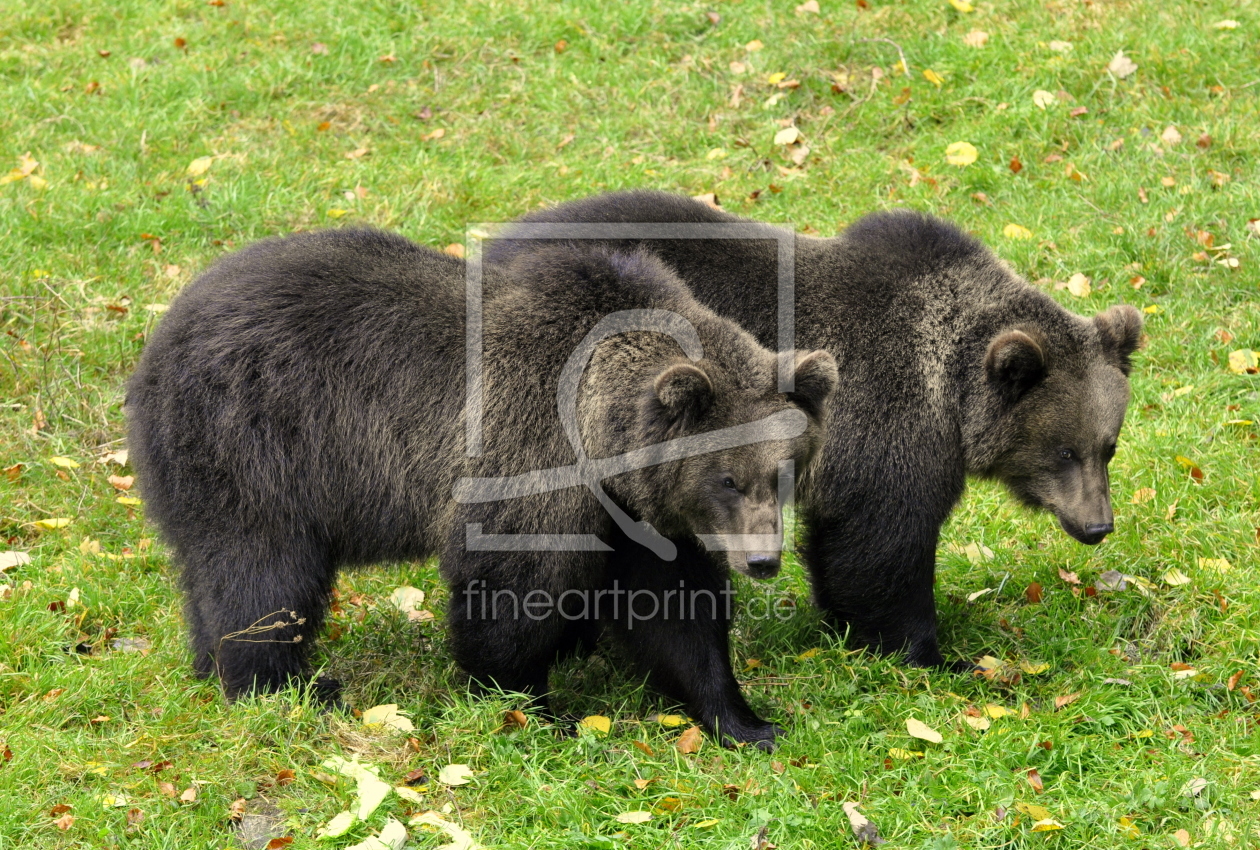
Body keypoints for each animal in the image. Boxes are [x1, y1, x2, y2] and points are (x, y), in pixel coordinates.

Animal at [125, 229, 836, 750]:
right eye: (726, 477)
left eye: (785, 472)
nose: (763, 560)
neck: (599, 442)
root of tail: (160, 335)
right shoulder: (526, 459)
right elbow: (509, 593)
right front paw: (533, 706)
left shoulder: (635, 514)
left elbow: (676, 612)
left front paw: (749, 722)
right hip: (257, 446)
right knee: (262, 572)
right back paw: (284, 687)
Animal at [486, 192, 1149, 669]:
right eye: (1063, 449)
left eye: (1109, 446)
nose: (1097, 525)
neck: (952, 389)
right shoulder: (886, 424)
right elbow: (880, 549)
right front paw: (929, 653)